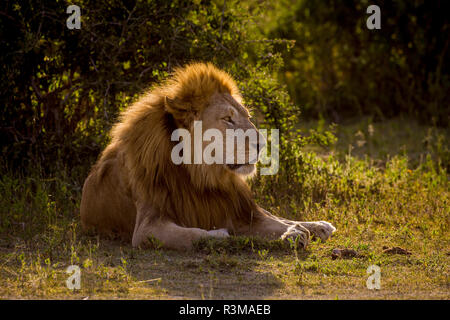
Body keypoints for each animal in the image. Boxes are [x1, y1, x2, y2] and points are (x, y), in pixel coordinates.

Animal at [81, 62, 336, 250]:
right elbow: (192, 235)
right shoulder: (146, 228)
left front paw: (296, 233)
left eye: (247, 116)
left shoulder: (236, 210)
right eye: (228, 119)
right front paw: (219, 234)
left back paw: (319, 226)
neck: (201, 175)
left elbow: (273, 222)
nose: (263, 143)